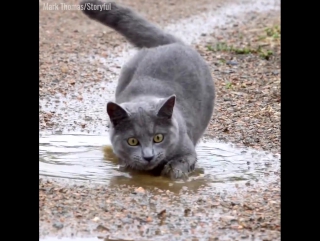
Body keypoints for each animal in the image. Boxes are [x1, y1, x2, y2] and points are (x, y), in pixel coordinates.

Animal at [80, 0, 215, 179]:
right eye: (132, 141)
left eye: (158, 137)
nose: (148, 156)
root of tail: (171, 44)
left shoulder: (187, 149)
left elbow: (183, 160)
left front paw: (173, 172)